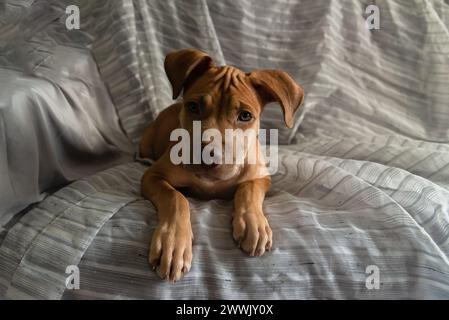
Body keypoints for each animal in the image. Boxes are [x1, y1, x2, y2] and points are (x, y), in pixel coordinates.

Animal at [138, 48, 302, 282]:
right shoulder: (153, 176)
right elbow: (175, 197)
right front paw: (173, 244)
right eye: (193, 106)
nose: (208, 156)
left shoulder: (261, 176)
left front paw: (253, 223)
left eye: (245, 116)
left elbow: (249, 188)